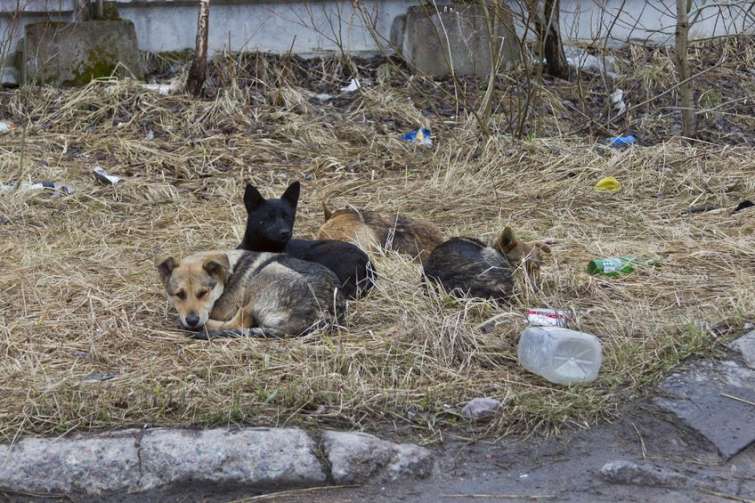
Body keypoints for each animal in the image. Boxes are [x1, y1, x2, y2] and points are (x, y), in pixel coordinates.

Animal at [158, 251, 344, 338]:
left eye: (203, 293)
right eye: (179, 294)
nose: (191, 320)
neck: (227, 275)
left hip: (267, 274)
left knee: (238, 323)